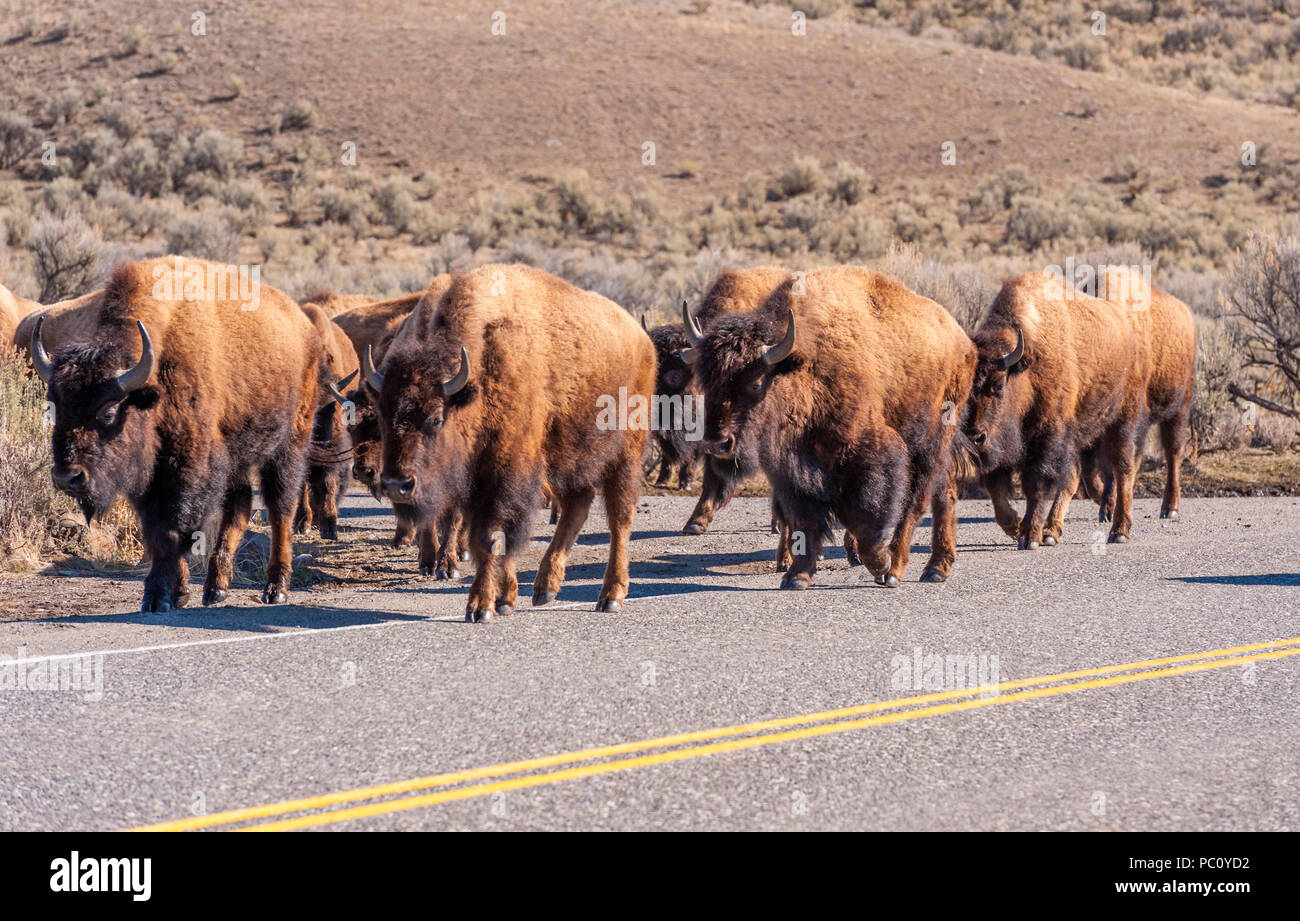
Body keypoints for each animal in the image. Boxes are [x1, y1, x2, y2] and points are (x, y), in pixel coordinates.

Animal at [34, 257, 323, 611]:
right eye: (55, 408)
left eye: (108, 412)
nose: (67, 477)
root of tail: (303, 326)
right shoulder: (154, 476)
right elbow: (155, 528)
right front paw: (180, 592)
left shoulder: (189, 466)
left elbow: (171, 528)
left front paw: (157, 597)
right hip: (237, 452)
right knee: (239, 506)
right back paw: (215, 589)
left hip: (289, 443)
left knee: (280, 508)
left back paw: (276, 589)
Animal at [366, 262, 655, 621]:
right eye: (381, 415)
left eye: (435, 418)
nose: (396, 485)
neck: (475, 381)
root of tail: (641, 338)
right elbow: (487, 538)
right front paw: (504, 599)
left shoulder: (507, 472)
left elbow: (491, 536)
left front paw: (481, 606)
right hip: (567, 457)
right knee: (578, 505)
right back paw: (545, 588)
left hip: (625, 453)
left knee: (619, 519)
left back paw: (611, 595)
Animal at [691, 264, 977, 590]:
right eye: (707, 383)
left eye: (754, 383)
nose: (717, 443)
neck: (801, 366)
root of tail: (964, 342)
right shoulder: (792, 472)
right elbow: (804, 519)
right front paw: (797, 576)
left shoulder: (871, 454)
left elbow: (866, 518)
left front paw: (878, 563)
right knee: (946, 494)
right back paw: (937, 567)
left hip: (930, 443)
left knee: (915, 504)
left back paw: (895, 570)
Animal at [961, 271, 1144, 546]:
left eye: (999, 384)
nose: (975, 437)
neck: (1026, 367)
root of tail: (1127, 329)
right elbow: (997, 490)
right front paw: (1016, 526)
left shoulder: (1047, 437)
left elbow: (1036, 484)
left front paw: (1029, 536)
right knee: (1073, 478)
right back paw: (1051, 530)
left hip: (1121, 420)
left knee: (1123, 468)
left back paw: (1119, 531)